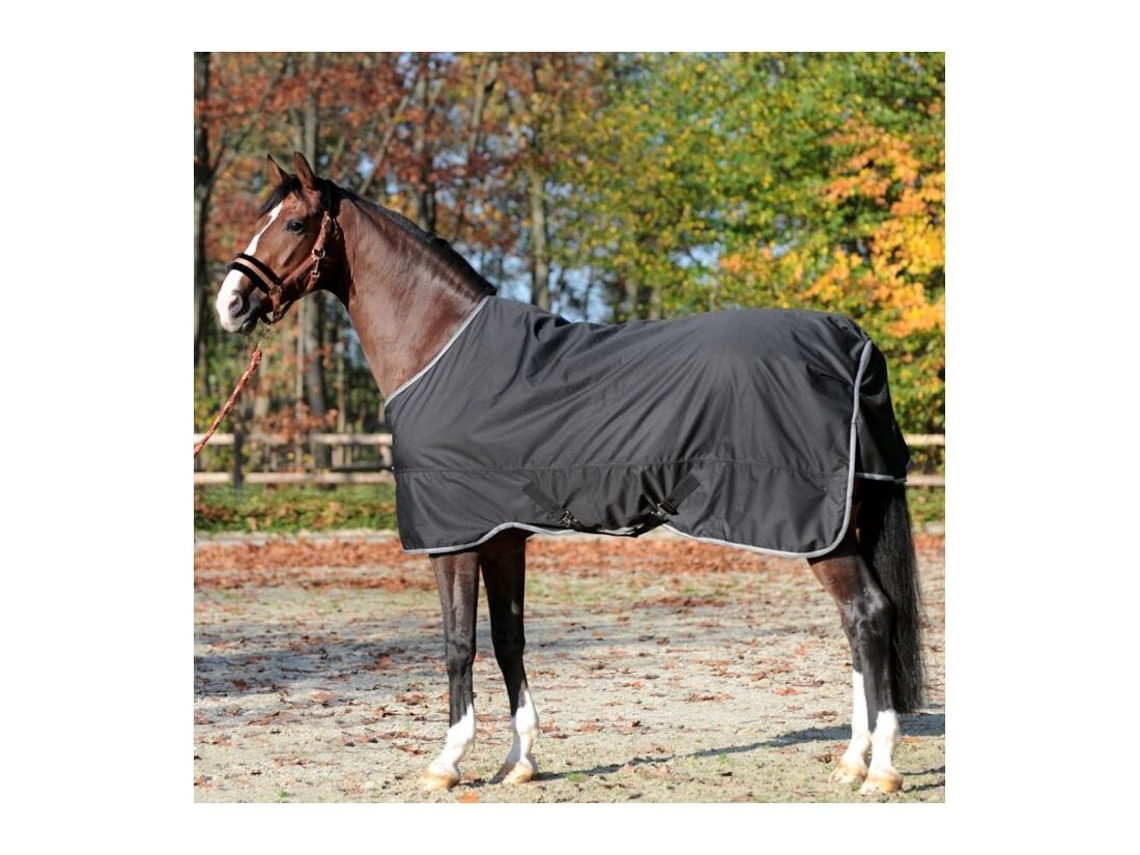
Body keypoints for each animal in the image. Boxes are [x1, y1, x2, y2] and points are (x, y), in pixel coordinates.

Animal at [212, 152, 925, 796]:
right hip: (843, 526)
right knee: (856, 628)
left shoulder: (453, 538)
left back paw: (881, 769)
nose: (230, 303)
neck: (441, 346)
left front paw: (448, 762)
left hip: (819, 532)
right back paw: (852, 760)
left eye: (295, 222)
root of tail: (853, 342)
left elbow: (457, 643)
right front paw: (519, 760)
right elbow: (509, 640)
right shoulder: (502, 535)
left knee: (868, 616)